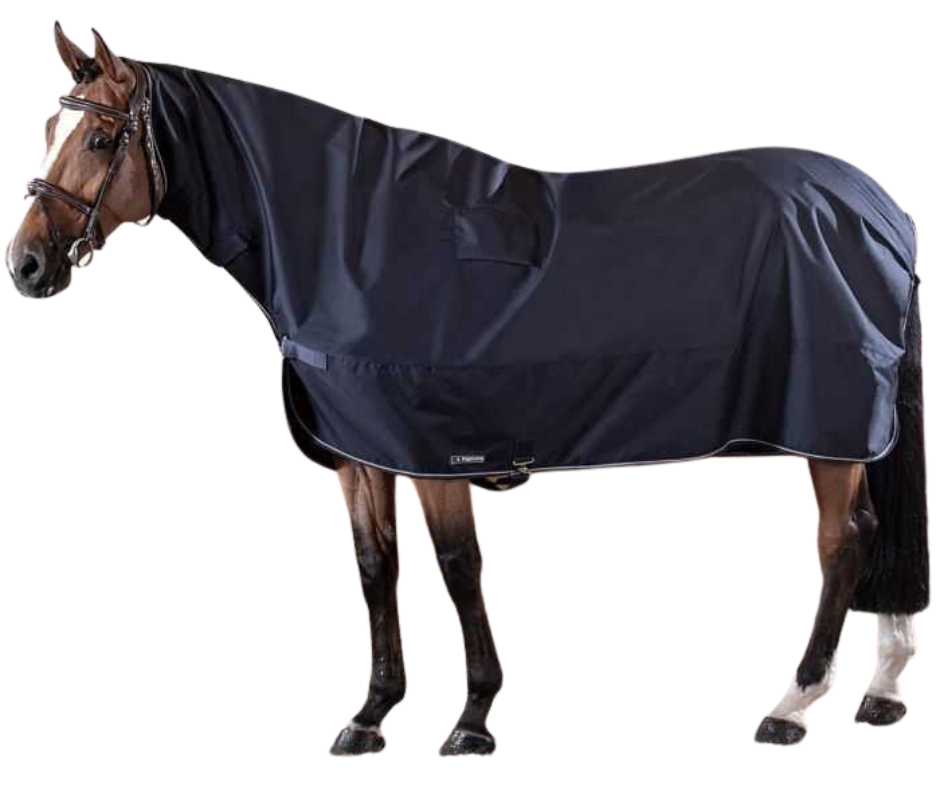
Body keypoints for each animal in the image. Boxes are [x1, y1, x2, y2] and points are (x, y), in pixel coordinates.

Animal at [5, 24, 927, 754]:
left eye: (98, 142)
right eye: (49, 125)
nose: (26, 266)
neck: (348, 236)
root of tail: (880, 210)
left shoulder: (436, 449)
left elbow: (458, 569)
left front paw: (473, 719)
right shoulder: (361, 452)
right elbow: (376, 568)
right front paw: (371, 714)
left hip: (829, 432)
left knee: (842, 542)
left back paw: (793, 704)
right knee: (876, 533)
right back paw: (882, 690)